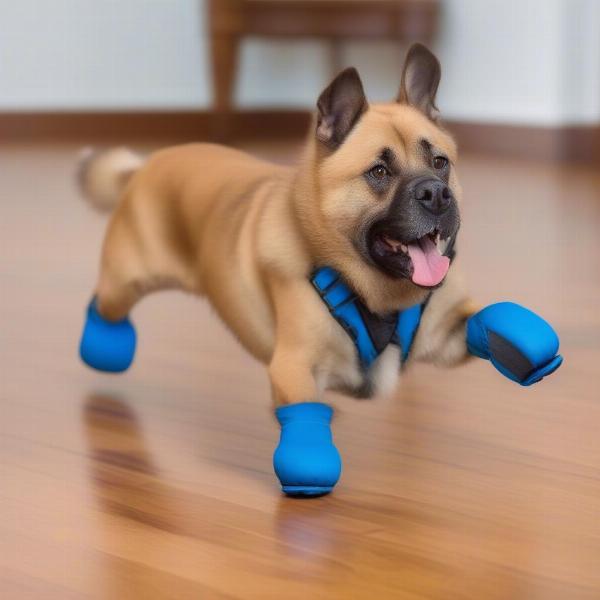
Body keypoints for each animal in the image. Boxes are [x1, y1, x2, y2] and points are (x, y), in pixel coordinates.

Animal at [77, 43, 560, 496]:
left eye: (440, 163)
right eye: (379, 172)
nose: (437, 195)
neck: (375, 293)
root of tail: (142, 168)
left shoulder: (443, 337)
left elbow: (482, 321)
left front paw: (524, 344)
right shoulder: (294, 366)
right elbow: (304, 415)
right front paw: (308, 465)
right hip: (129, 281)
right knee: (104, 305)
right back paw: (104, 345)